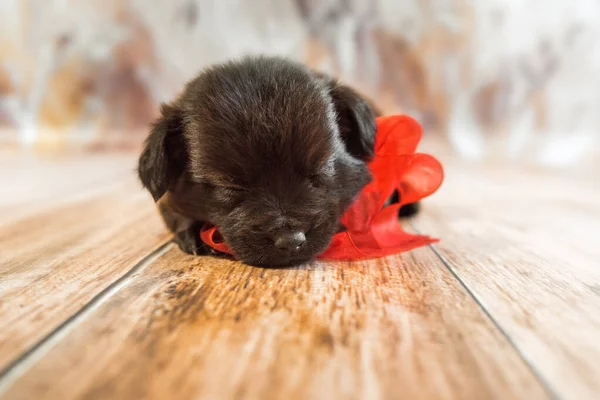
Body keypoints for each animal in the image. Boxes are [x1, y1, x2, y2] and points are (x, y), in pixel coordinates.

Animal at [138, 54, 414, 266]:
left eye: (320, 170)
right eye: (230, 187)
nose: (291, 241)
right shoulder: (169, 201)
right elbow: (176, 214)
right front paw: (192, 233)